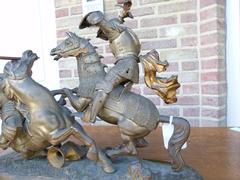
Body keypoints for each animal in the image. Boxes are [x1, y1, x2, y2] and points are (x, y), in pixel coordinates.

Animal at [51, 32, 191, 172]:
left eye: (68, 42)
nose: (53, 51)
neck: (92, 77)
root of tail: (157, 117)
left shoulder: (81, 102)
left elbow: (67, 92)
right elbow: (67, 90)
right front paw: (57, 96)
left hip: (125, 129)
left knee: (132, 150)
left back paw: (108, 154)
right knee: (140, 145)